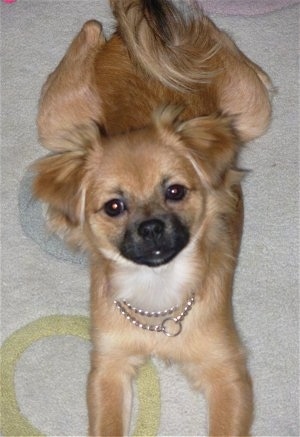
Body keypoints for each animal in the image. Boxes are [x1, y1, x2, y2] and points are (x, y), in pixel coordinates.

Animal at [32, 1, 272, 434]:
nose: (152, 227)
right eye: (114, 206)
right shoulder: (109, 366)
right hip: (56, 125)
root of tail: (133, 45)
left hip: (252, 112)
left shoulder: (227, 371)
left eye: (175, 191)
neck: (157, 296)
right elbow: (107, 423)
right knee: (89, 33)